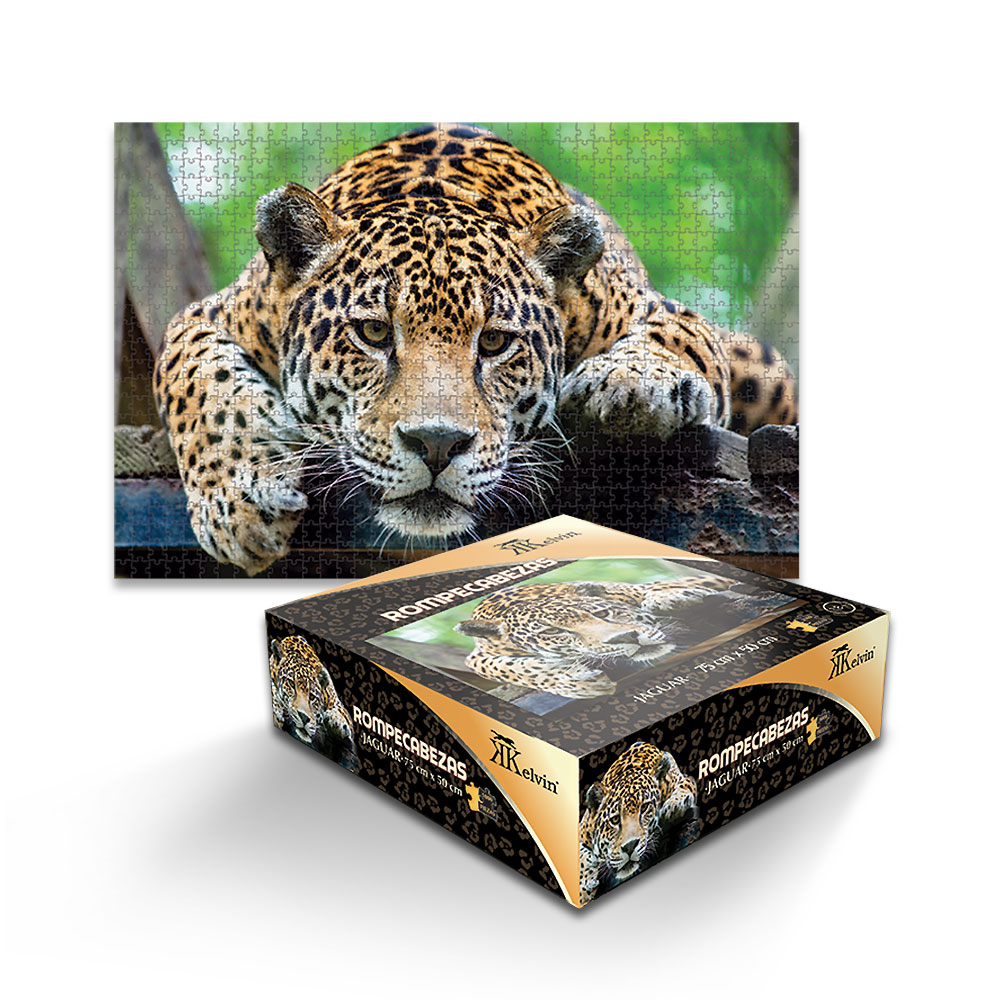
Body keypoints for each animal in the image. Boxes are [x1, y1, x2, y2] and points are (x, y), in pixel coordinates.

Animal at [153, 123, 798, 575]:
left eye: (494, 342)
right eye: (375, 334)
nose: (437, 445)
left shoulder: (661, 310)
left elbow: (677, 339)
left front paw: (632, 383)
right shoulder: (208, 316)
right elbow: (201, 386)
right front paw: (238, 502)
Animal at [269, 635, 359, 772]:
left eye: (312, 697)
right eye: (291, 684)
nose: (304, 717)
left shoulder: (336, 701)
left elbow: (343, 715)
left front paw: (336, 722)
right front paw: (277, 706)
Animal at [453, 572, 789, 699]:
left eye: (603, 614)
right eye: (552, 632)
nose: (627, 638)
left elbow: (651, 590)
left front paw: (672, 598)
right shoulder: (479, 656)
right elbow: (504, 667)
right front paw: (573, 681)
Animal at [579, 741, 700, 903]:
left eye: (644, 807)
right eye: (615, 819)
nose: (630, 847)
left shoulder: (682, 777)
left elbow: (688, 782)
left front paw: (675, 805)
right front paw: (584, 885)